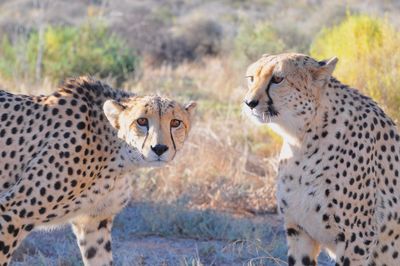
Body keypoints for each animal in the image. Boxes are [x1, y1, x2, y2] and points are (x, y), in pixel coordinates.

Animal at [244, 53, 400, 266]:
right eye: (251, 78)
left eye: (277, 79)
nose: (249, 102)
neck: (302, 140)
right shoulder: (298, 229)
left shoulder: (358, 235)